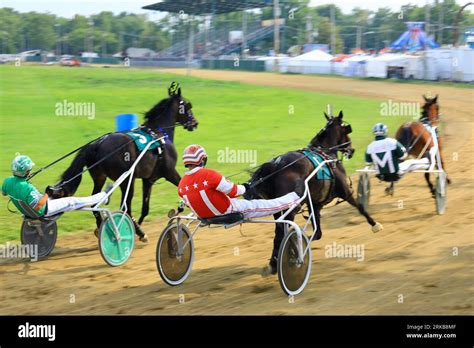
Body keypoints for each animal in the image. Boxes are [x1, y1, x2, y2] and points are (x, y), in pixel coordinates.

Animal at [46, 84, 198, 242]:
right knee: (125, 207)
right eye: (188, 105)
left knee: (95, 203)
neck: (159, 133)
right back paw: (132, 231)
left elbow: (145, 208)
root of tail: (97, 144)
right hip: (126, 181)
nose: (194, 123)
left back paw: (103, 228)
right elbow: (182, 187)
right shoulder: (169, 172)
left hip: (100, 177)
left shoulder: (148, 180)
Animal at [243, 111, 384, 274]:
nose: (352, 149)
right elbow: (360, 207)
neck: (326, 153)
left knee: (278, 231)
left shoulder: (315, 204)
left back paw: (274, 262)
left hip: (278, 208)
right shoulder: (345, 192)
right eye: (346, 131)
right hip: (291, 208)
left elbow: (317, 233)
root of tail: (276, 164)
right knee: (281, 231)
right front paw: (375, 224)